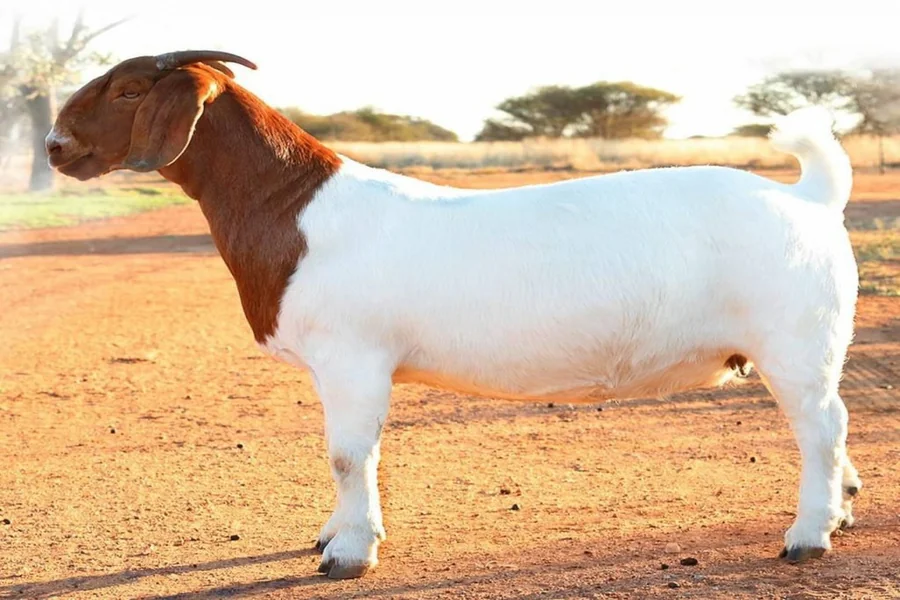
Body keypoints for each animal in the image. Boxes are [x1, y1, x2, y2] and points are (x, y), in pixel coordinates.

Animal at [47, 50, 862, 579]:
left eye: (128, 90)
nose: (54, 145)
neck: (297, 208)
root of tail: (810, 196)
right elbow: (344, 456)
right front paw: (330, 534)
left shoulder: (353, 358)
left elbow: (348, 454)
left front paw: (349, 552)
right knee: (831, 423)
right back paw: (845, 506)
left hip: (794, 338)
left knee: (820, 426)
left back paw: (808, 535)